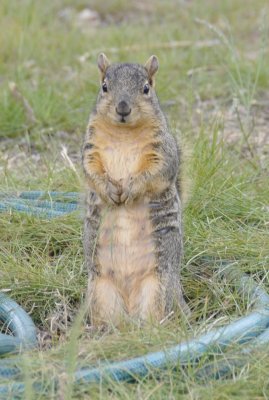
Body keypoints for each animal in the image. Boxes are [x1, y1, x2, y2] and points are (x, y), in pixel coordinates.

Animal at [80, 53, 187, 326]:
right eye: (104, 87)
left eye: (146, 88)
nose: (123, 108)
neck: (123, 133)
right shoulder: (90, 148)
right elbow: (90, 171)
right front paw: (109, 190)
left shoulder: (163, 152)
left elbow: (156, 172)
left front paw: (130, 189)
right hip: (100, 290)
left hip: (158, 286)